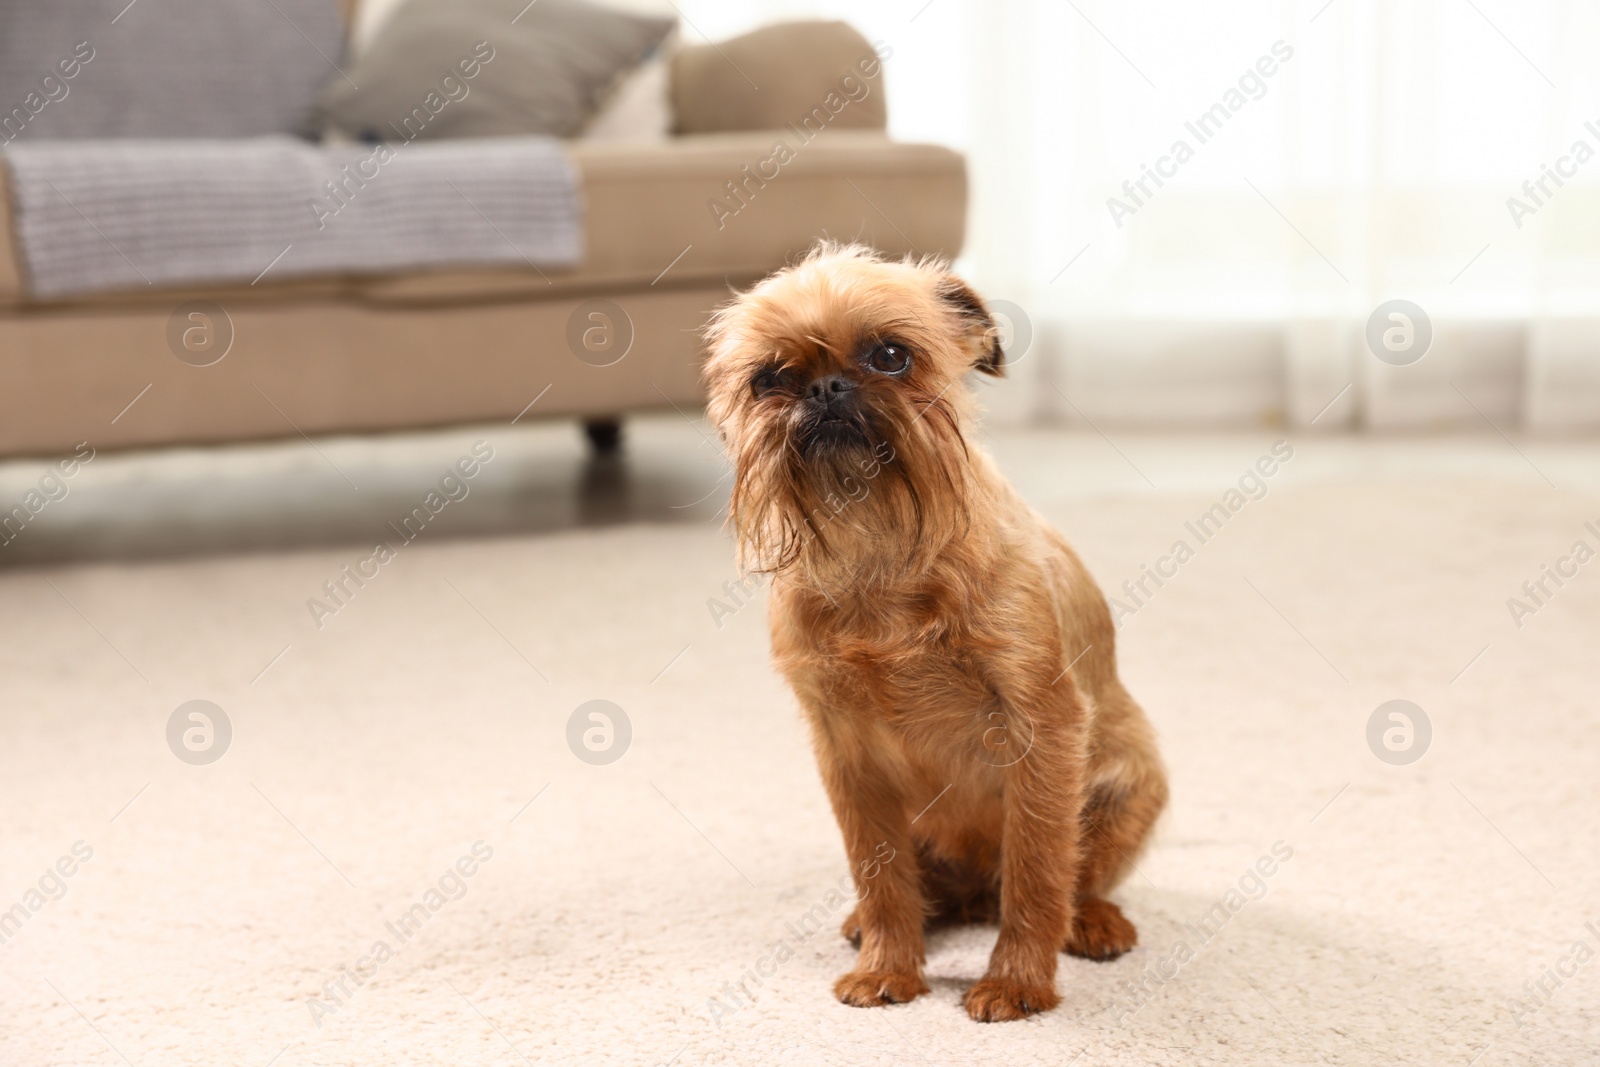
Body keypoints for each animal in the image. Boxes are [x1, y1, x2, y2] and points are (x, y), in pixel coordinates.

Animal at [700, 244, 1164, 1023]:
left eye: (891, 355)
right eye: (768, 378)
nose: (825, 387)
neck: (876, 547)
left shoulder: (1043, 729)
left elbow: (1038, 869)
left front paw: (1017, 983)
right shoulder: (847, 753)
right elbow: (878, 873)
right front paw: (889, 965)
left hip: (1131, 785)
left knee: (1075, 875)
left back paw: (1092, 921)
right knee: (924, 886)